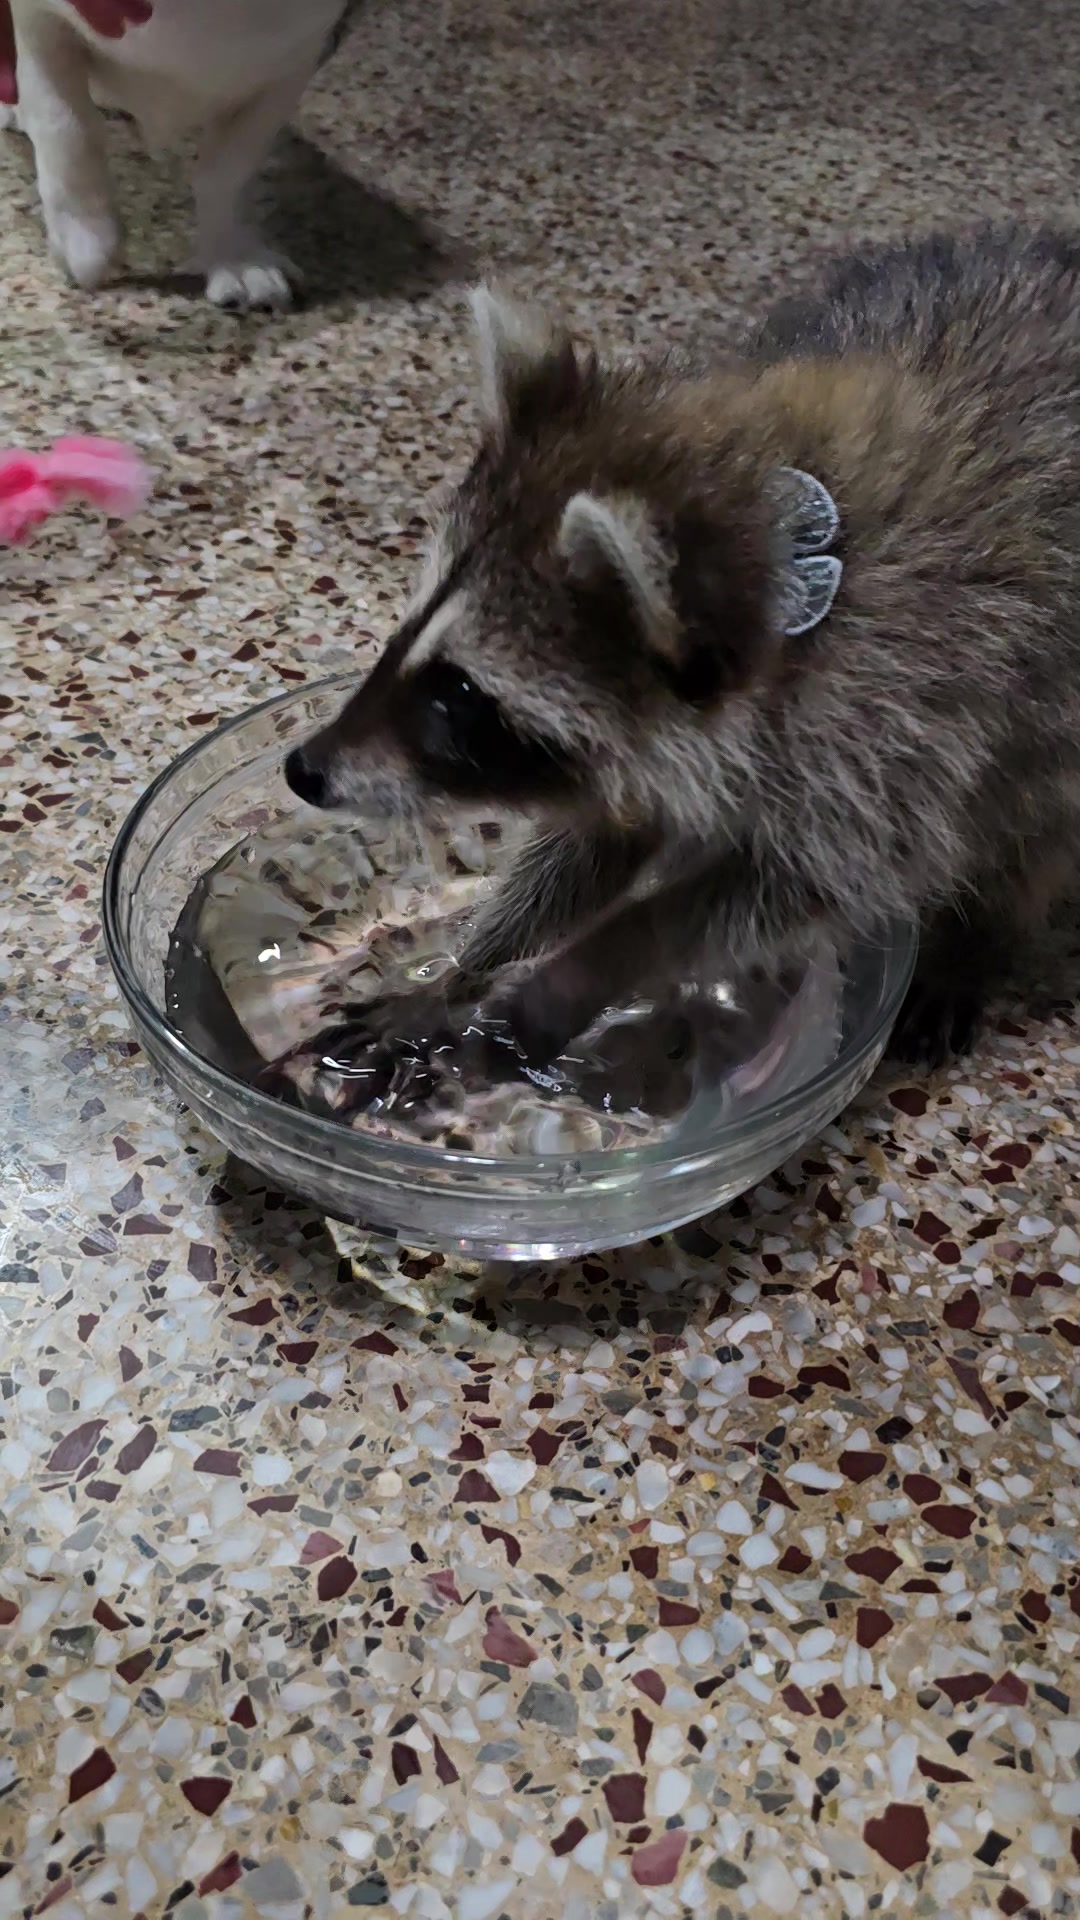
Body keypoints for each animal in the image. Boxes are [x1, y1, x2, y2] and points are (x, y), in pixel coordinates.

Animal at [285, 227, 1080, 1075]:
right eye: (405, 628)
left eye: (459, 693)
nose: (303, 769)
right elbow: (591, 844)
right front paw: (468, 966)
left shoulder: (910, 721)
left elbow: (806, 882)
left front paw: (590, 966)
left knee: (1032, 825)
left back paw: (981, 938)